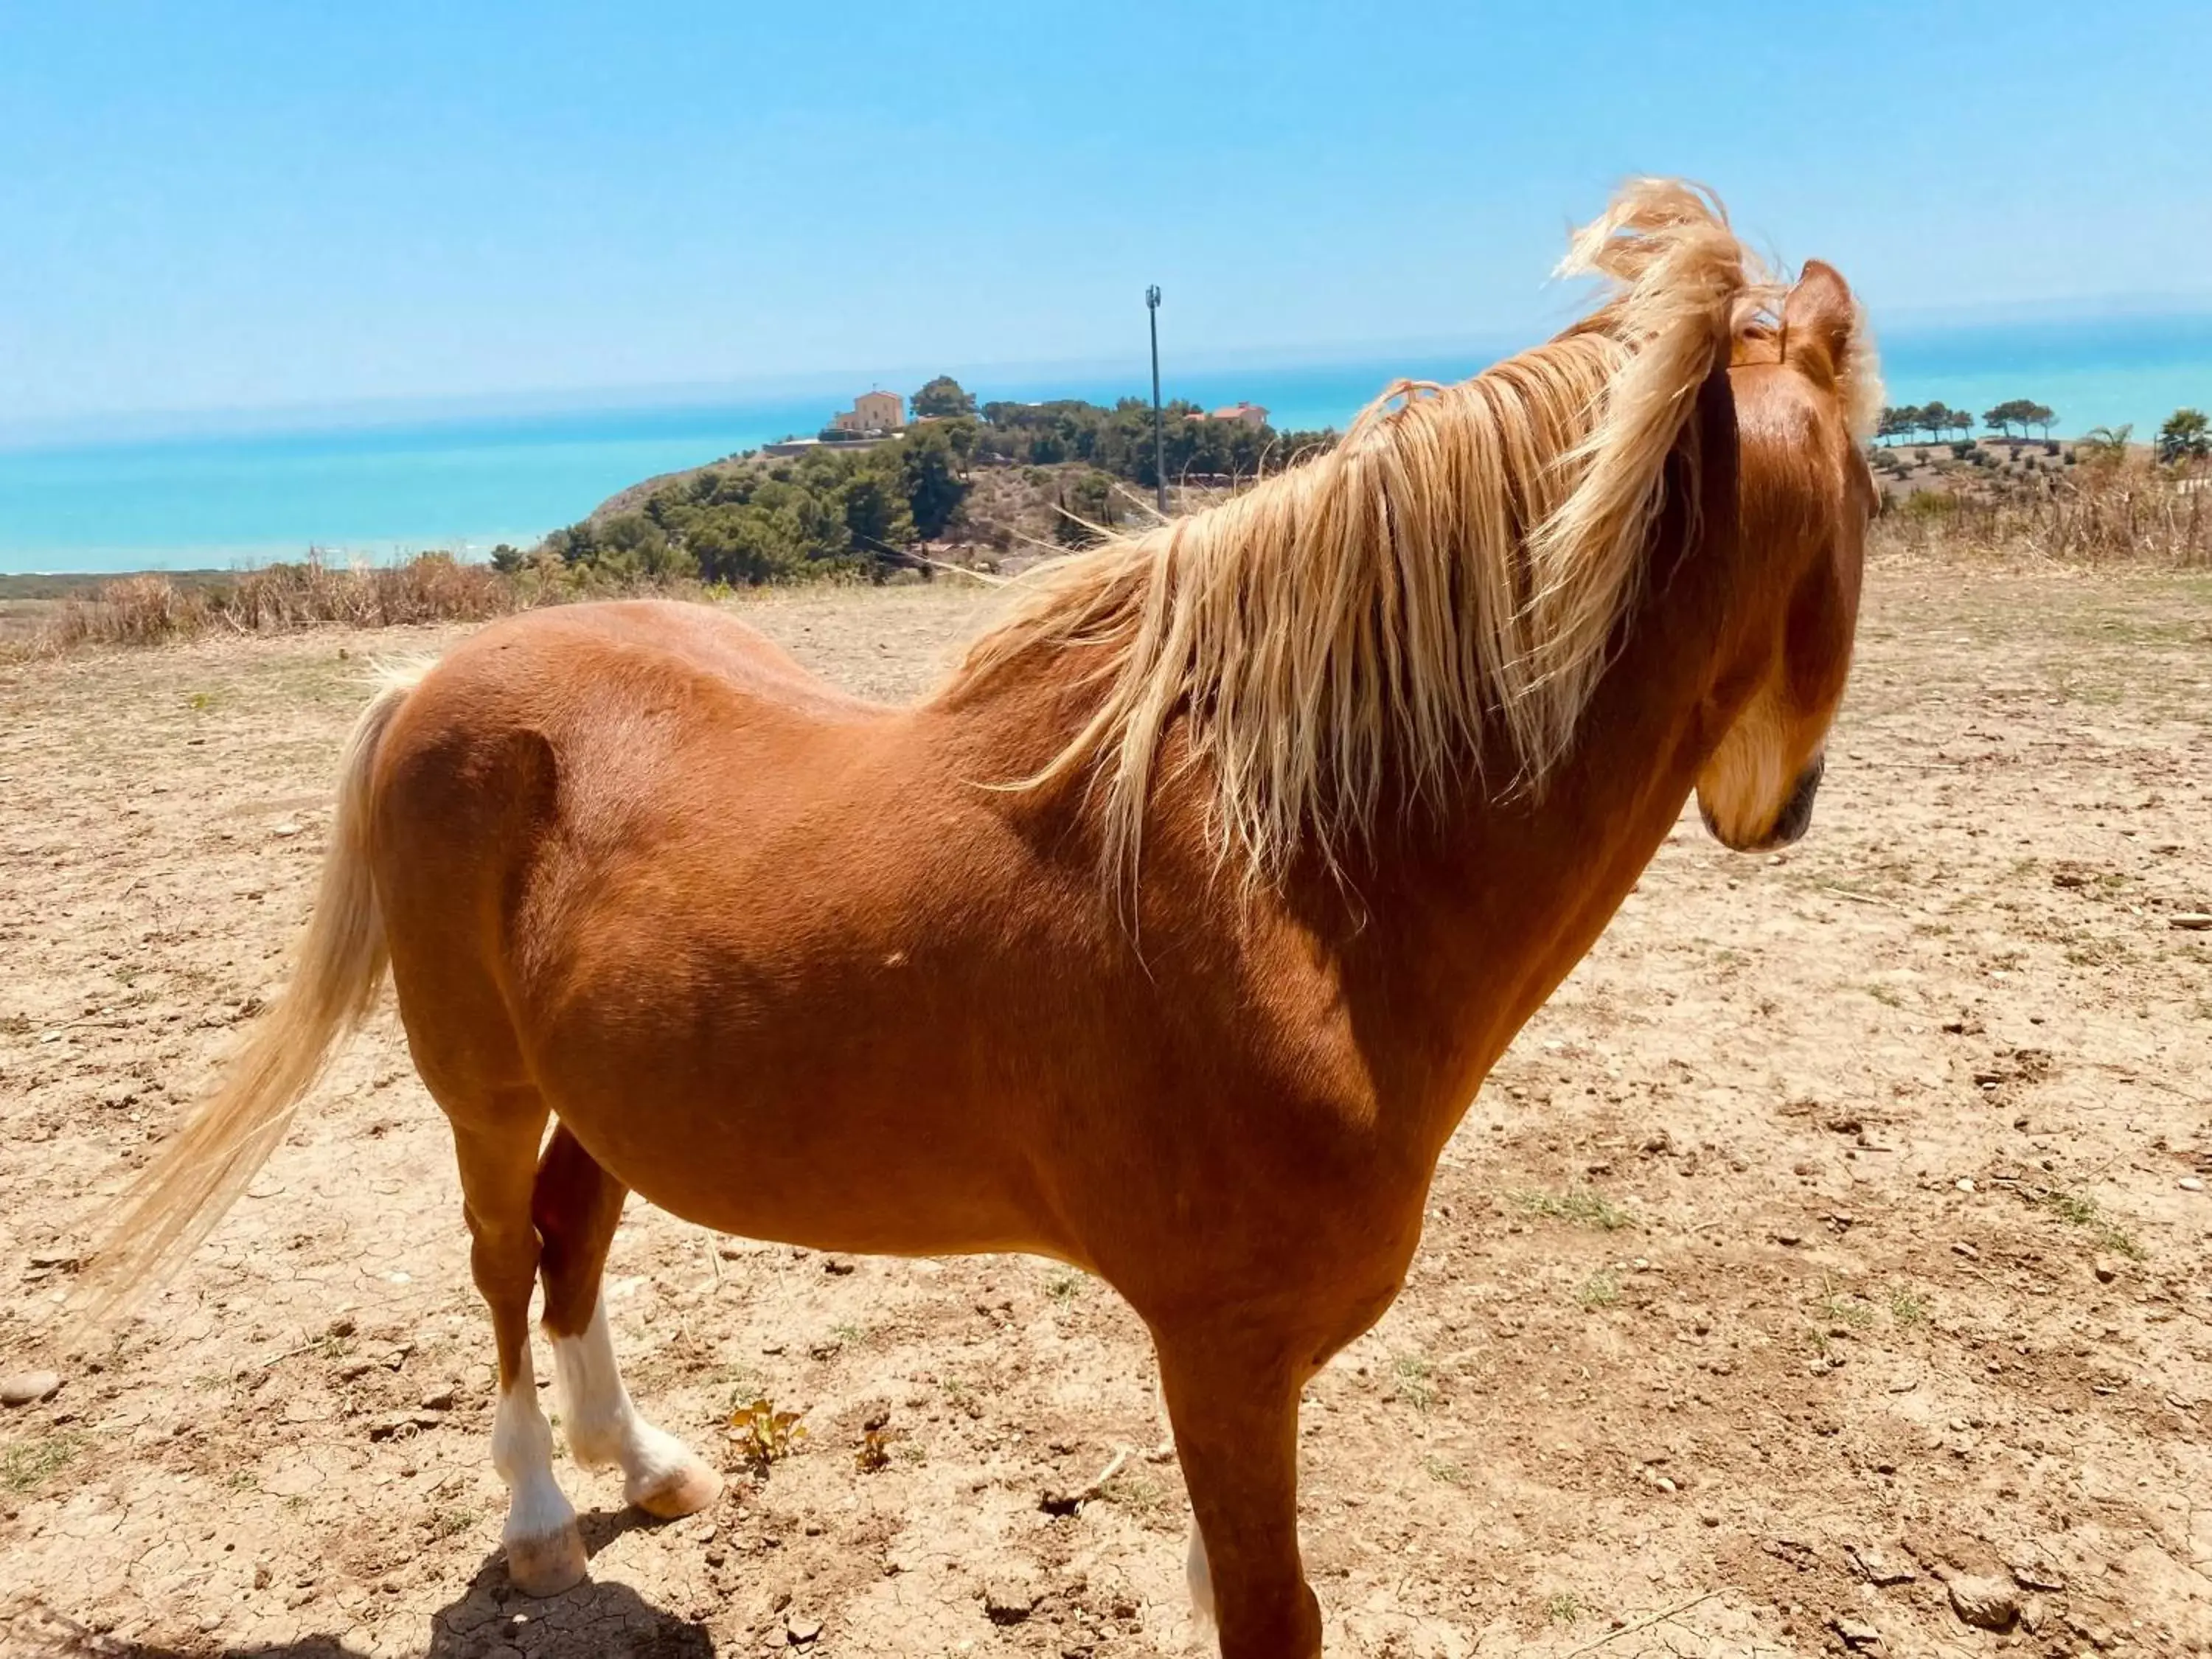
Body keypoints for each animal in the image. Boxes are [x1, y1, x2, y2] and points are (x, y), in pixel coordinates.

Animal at [86, 184, 1885, 1659]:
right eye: (1875, 488)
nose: (1778, 807)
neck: (1296, 888)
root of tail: (438, 681)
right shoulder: (1224, 1353)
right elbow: (1270, 1613)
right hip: (479, 1082)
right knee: (495, 1266)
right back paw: (541, 1519)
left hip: (609, 1086)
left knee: (569, 1239)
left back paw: (645, 1466)